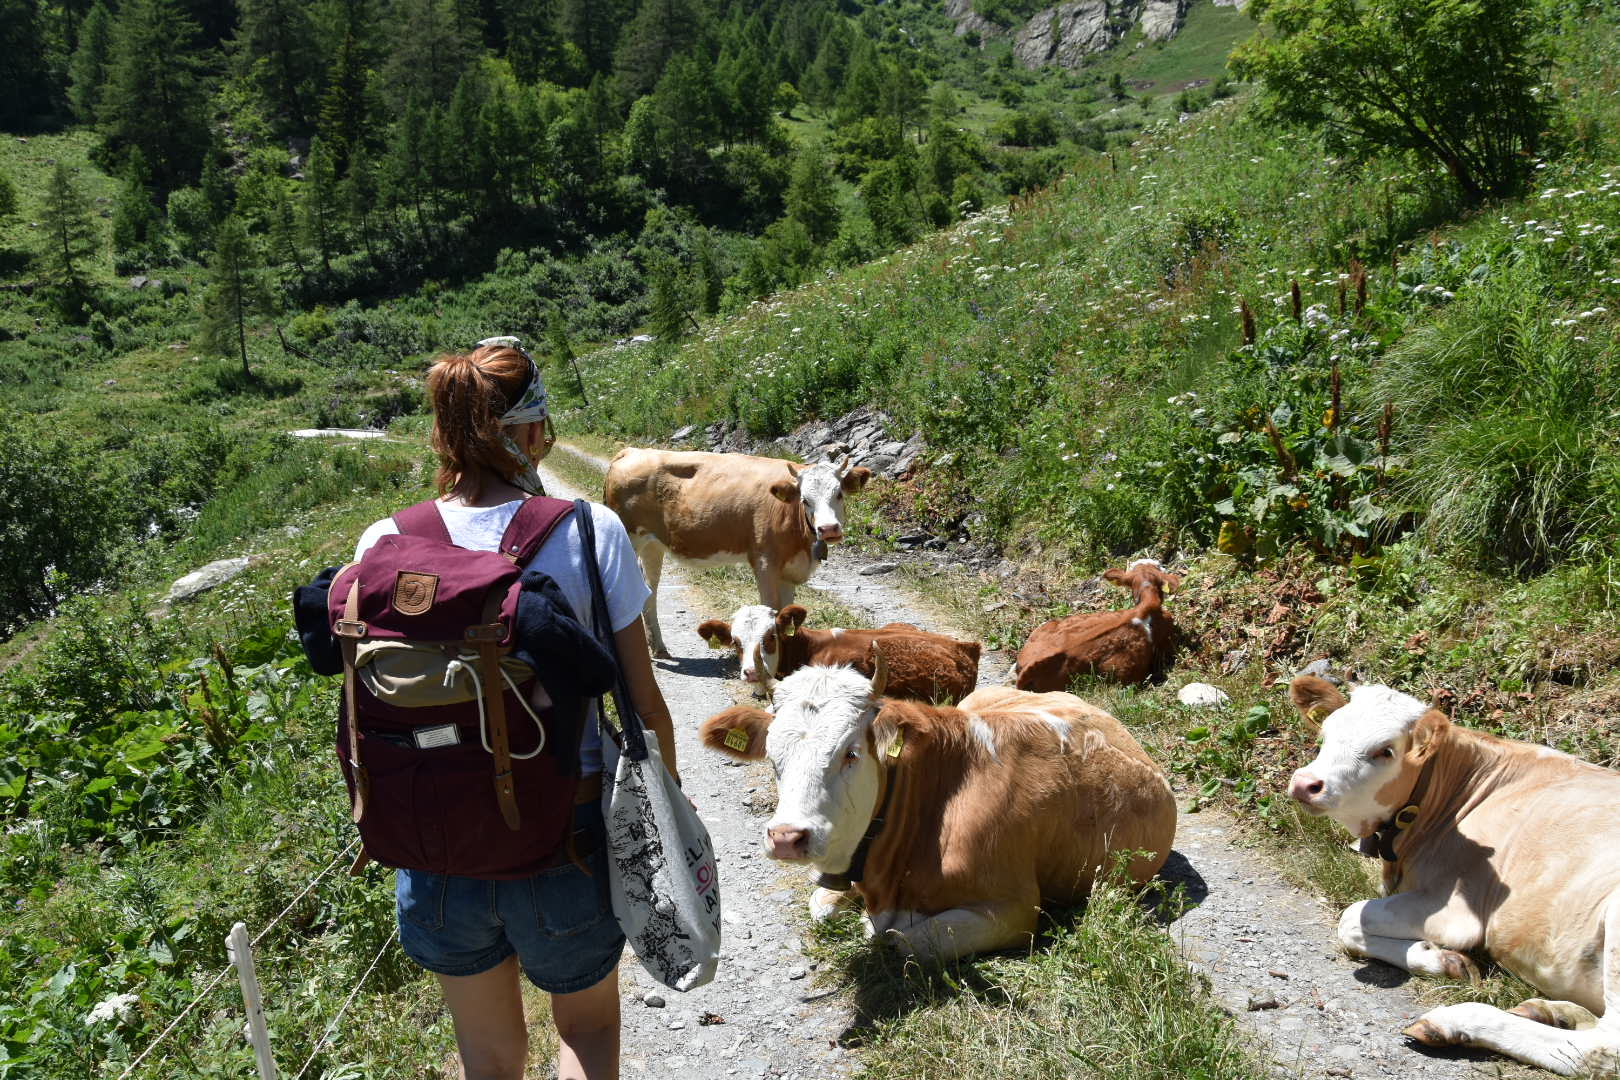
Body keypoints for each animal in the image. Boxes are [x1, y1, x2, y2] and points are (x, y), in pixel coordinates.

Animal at [603, 449, 872, 658]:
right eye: (805, 500)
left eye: (839, 494)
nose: (828, 529)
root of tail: (631, 451)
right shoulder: (764, 562)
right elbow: (771, 609)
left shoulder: (789, 569)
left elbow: (787, 613)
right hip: (630, 538)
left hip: (653, 545)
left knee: (649, 590)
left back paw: (658, 648)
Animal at [700, 649, 1177, 962]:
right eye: (773, 755)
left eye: (851, 753)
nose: (786, 837)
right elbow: (822, 908)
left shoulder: (1015, 909)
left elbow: (897, 938)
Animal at [1286, 674, 1620, 1074]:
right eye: (1326, 733)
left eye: (1386, 751)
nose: (1305, 783)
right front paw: (1446, 961)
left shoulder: (1458, 911)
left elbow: (1350, 918)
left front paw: (1442, 960)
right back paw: (1550, 1011)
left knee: (1603, 1048)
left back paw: (1455, 1021)